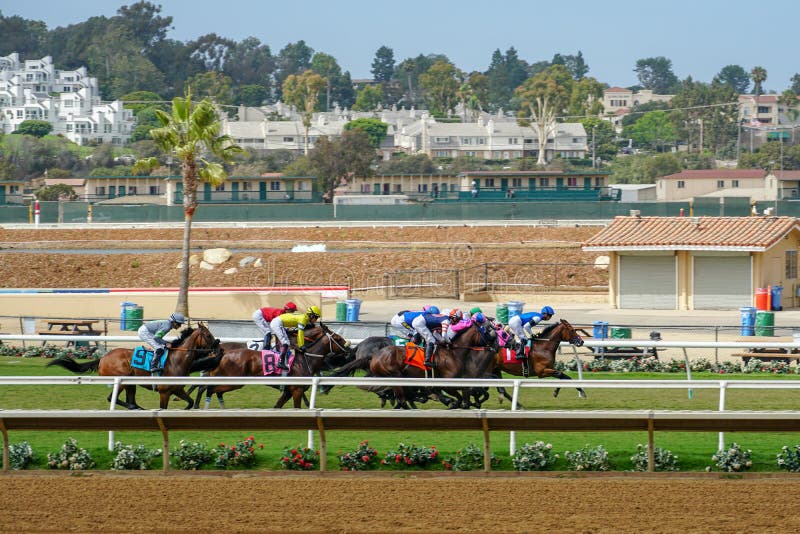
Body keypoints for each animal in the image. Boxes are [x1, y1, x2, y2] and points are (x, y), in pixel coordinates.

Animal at [49, 324, 219, 412]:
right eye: (208, 335)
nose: (218, 347)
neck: (177, 360)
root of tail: (103, 358)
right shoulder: (164, 392)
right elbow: (163, 408)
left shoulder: (177, 389)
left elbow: (190, 402)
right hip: (122, 380)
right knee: (113, 398)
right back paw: (135, 408)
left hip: (131, 383)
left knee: (129, 399)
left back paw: (137, 408)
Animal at [194, 322, 350, 410]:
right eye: (337, 338)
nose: (349, 350)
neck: (306, 359)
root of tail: (222, 352)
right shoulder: (297, 390)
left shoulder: (288, 391)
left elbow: (277, 407)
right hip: (233, 381)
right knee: (209, 389)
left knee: (208, 388)